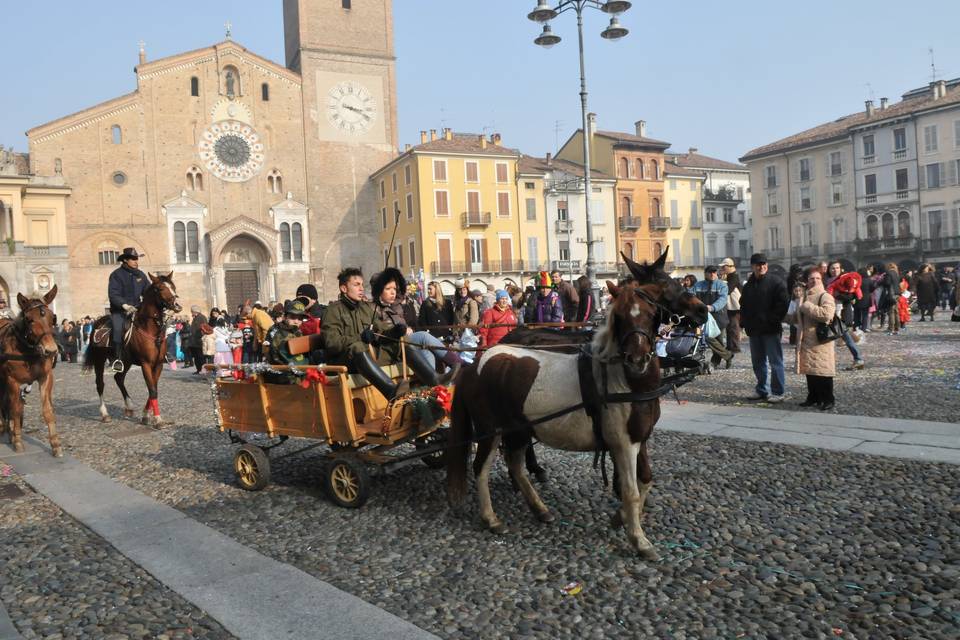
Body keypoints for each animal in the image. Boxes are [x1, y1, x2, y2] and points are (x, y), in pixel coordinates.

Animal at [0, 288, 62, 458]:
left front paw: (55, 444)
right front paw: (18, 441)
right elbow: (15, 409)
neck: (27, 350)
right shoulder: (12, 380)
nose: (51, 350)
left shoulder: (45, 377)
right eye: (29, 319)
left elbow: (47, 410)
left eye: (52, 317)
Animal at [84, 272, 182, 424]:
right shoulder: (146, 364)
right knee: (100, 384)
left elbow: (153, 388)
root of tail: (98, 322)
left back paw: (129, 406)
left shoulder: (158, 364)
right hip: (99, 360)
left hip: (126, 362)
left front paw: (146, 415)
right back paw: (105, 414)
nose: (177, 305)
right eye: (160, 288)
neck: (150, 329)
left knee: (119, 378)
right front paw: (158, 419)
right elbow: (152, 390)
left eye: (173, 287)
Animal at [446, 278, 708, 556]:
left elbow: (645, 480)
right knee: (481, 468)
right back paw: (491, 518)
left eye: (650, 314)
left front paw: (622, 517)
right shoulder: (622, 444)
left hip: (518, 430)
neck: (625, 381)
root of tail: (474, 365)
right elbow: (631, 490)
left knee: (515, 465)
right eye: (620, 317)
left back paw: (540, 509)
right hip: (491, 430)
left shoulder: (640, 437)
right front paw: (639, 539)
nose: (637, 359)